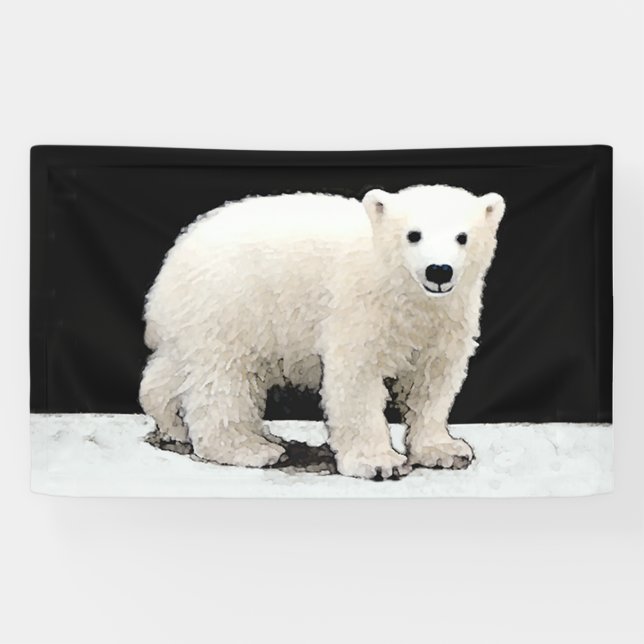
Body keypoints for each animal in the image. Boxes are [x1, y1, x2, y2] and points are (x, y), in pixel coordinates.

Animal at [139, 185, 505, 479]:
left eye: (462, 237)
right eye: (413, 234)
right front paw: (378, 462)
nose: (439, 270)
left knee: (174, 371)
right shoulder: (360, 305)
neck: (405, 292)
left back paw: (175, 424)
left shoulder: (447, 319)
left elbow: (432, 381)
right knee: (223, 380)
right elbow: (356, 377)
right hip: (231, 304)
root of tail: (175, 256)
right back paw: (249, 447)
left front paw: (446, 450)